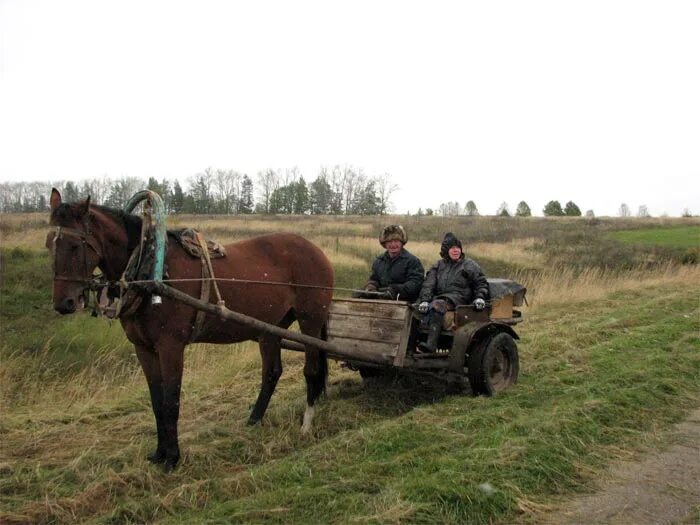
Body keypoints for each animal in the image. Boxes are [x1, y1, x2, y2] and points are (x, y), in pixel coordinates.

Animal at [47, 188, 336, 470]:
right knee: (272, 372)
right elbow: (157, 401)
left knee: (311, 370)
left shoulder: (171, 346)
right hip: (271, 327)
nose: (64, 303)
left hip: (310, 321)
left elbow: (171, 400)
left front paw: (172, 457)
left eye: (75, 246)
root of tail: (317, 250)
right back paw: (254, 418)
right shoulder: (143, 348)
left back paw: (306, 422)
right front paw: (159, 453)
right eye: (49, 244)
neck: (152, 272)